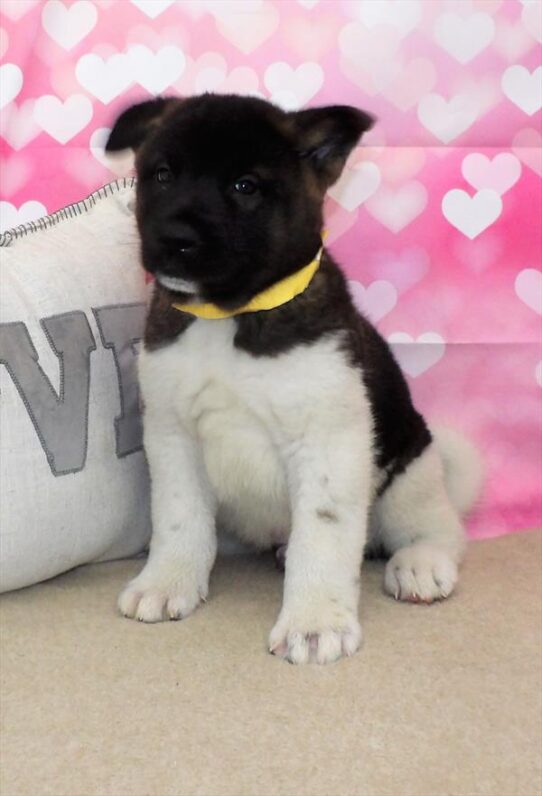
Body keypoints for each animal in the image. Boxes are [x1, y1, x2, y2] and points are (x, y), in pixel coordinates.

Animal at [106, 93, 484, 664]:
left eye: (245, 186)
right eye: (163, 174)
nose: (174, 239)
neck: (229, 317)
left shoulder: (328, 442)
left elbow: (322, 538)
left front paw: (313, 621)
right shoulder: (172, 436)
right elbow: (179, 519)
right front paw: (167, 582)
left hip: (409, 473)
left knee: (437, 528)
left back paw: (420, 563)